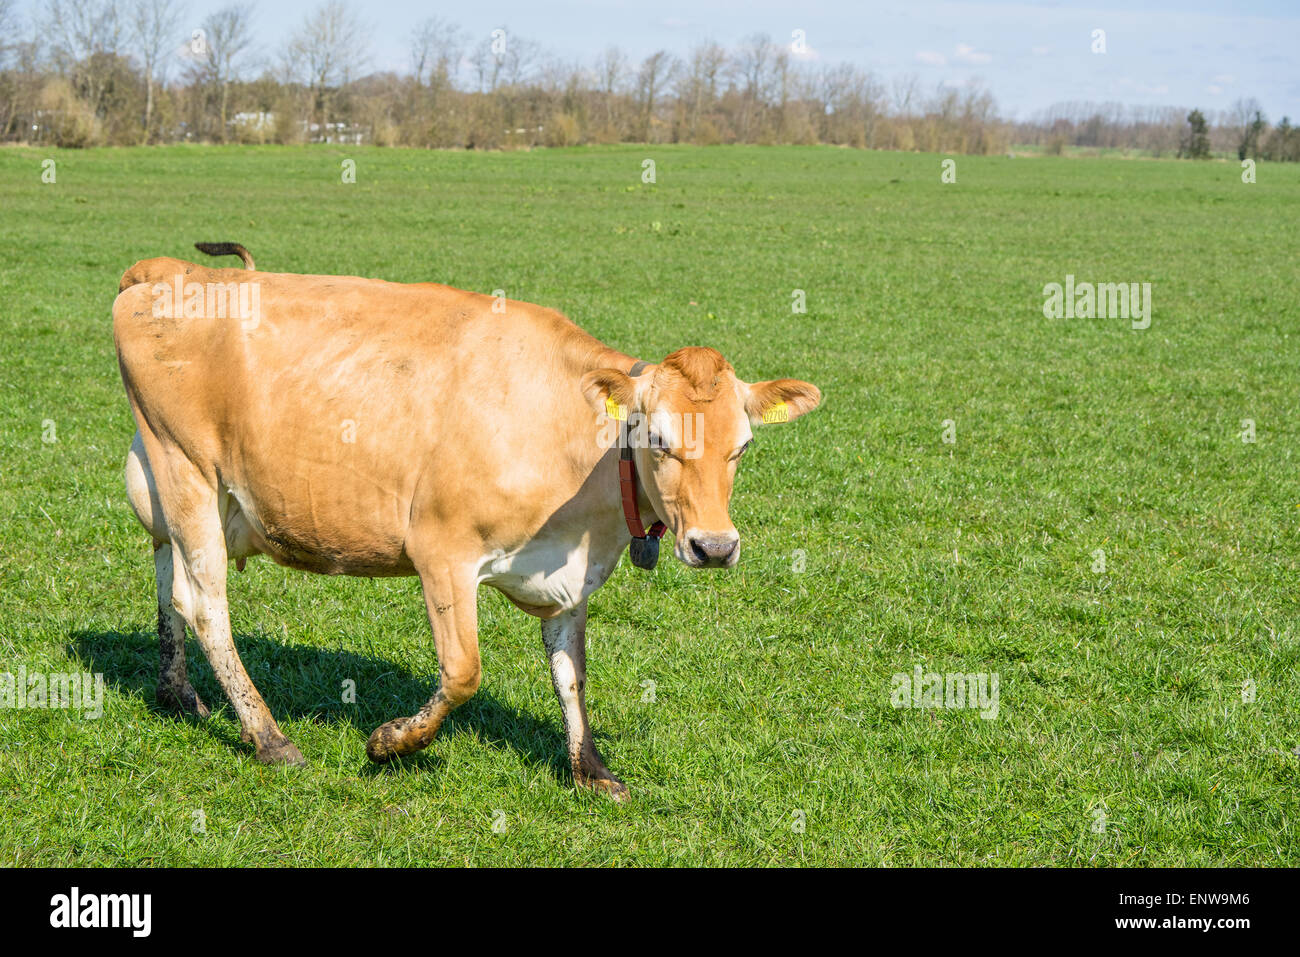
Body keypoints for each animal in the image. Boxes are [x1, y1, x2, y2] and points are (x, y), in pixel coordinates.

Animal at [114, 243, 822, 800]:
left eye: (742, 446)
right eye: (658, 438)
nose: (714, 547)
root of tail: (166, 272)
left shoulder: (568, 576)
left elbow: (572, 674)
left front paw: (590, 769)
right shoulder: (442, 549)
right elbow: (462, 673)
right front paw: (391, 742)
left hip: (170, 479)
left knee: (166, 570)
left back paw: (178, 692)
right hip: (186, 465)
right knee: (204, 603)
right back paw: (268, 737)